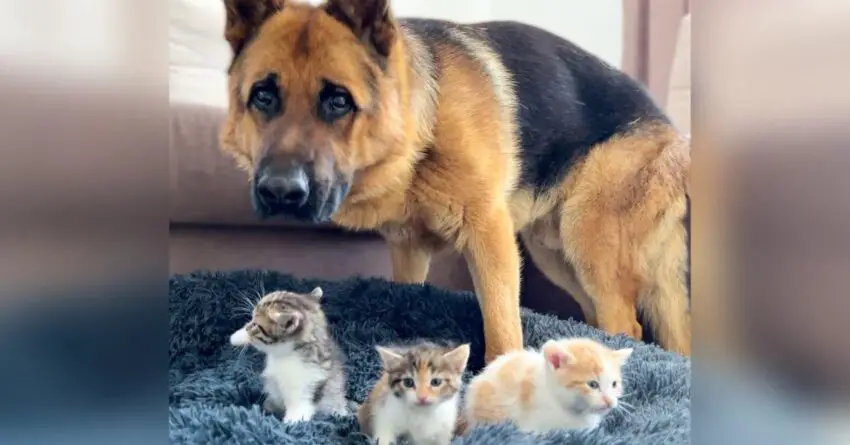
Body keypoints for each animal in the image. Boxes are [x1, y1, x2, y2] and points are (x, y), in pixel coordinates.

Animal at [219, 0, 688, 360]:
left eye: (338, 101)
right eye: (263, 96)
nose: (280, 192)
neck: (422, 133)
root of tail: (672, 131)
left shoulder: (490, 239)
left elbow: (501, 326)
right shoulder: (408, 251)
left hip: (586, 240)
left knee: (628, 326)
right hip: (555, 253)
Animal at [229, 286, 348, 422]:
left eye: (255, 324)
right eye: (252, 319)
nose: (250, 323)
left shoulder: (309, 380)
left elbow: (301, 404)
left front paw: (292, 421)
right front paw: (237, 337)